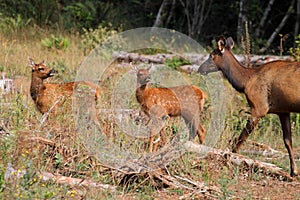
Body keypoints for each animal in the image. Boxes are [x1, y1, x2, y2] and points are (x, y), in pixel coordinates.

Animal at [197, 36, 300, 177]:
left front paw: (230, 158)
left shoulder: (259, 108)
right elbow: (288, 141)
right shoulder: (283, 111)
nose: (199, 69)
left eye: (212, 55)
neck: (245, 81)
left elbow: (241, 137)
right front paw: (294, 171)